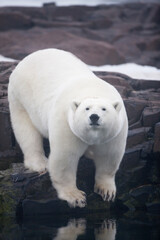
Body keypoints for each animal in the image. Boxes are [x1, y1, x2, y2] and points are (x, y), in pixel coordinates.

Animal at [8, 47, 128, 207]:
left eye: (104, 109)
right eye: (87, 108)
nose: (94, 117)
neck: (93, 90)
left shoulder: (115, 133)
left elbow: (109, 157)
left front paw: (106, 191)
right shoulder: (67, 125)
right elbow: (65, 158)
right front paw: (76, 196)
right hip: (21, 97)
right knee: (27, 132)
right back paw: (40, 164)